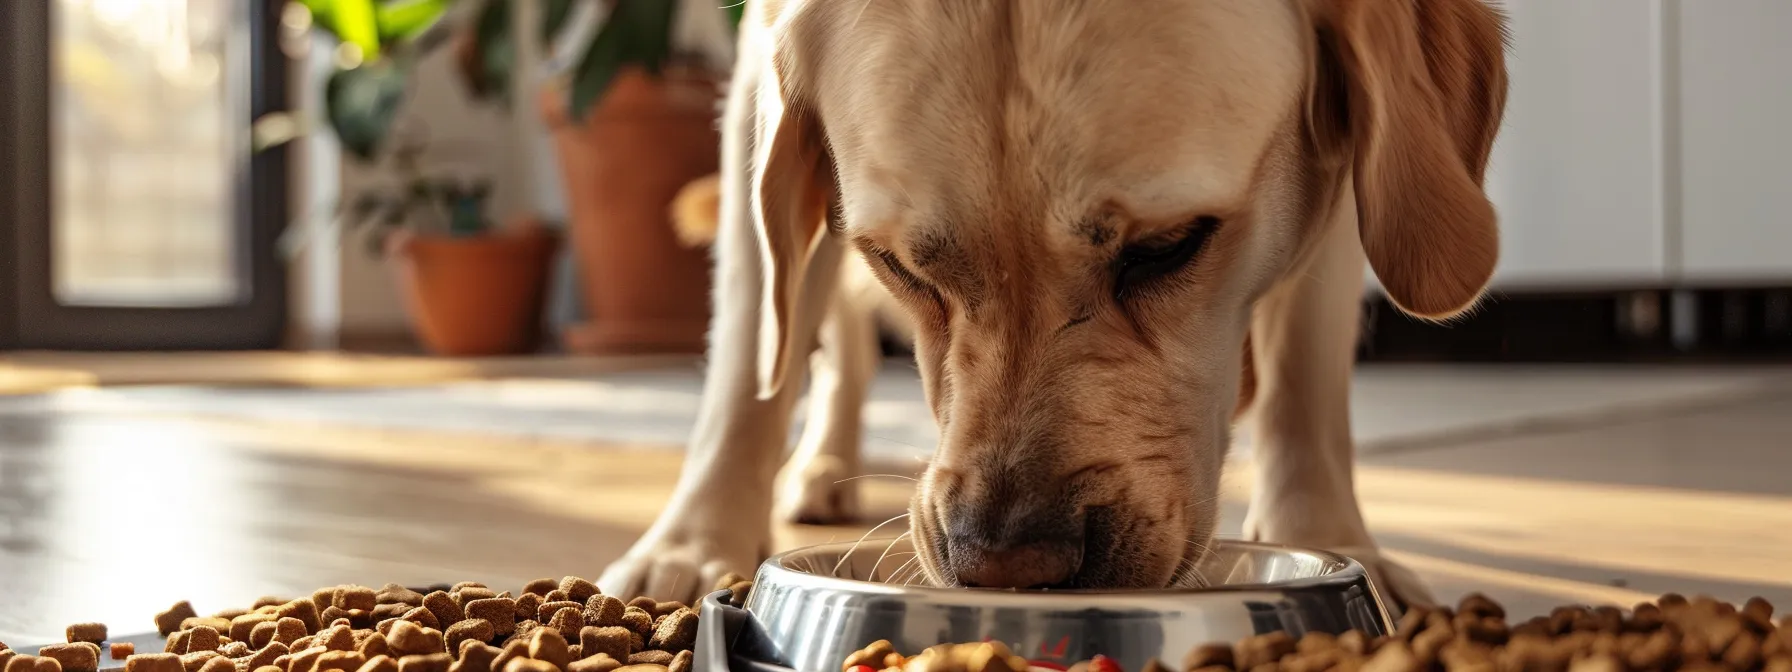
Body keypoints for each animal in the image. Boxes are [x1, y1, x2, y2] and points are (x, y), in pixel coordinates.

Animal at [594, 0, 1505, 609]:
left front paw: (1337, 540)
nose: (1006, 569)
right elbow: (754, 353)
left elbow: (1306, 387)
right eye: (901, 266)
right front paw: (692, 542)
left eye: (1167, 247)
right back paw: (821, 463)